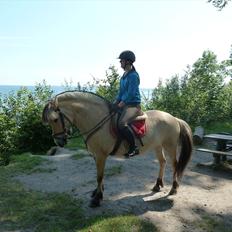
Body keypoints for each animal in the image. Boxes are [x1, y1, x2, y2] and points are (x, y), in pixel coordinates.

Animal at [41, 90, 192, 207]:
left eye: (55, 119)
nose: (59, 141)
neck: (97, 120)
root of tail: (174, 118)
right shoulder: (96, 156)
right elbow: (99, 176)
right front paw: (97, 192)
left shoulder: (101, 155)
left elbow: (99, 176)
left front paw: (97, 199)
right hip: (157, 146)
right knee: (162, 162)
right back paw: (157, 185)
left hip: (170, 146)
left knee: (174, 165)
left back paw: (173, 188)